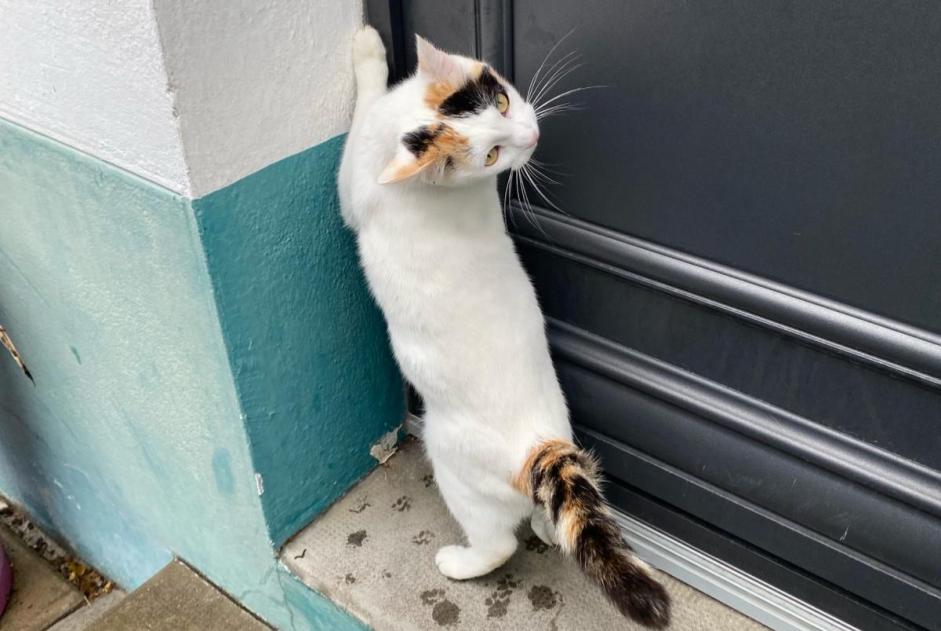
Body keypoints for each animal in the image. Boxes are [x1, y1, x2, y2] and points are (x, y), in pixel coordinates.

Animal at [336, 25, 668, 628]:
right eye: (490, 153)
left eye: (504, 104)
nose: (532, 134)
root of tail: (544, 446)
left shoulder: (354, 185)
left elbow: (359, 121)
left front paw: (368, 51)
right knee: (544, 519)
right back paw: (546, 524)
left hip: (450, 461)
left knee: (499, 544)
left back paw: (460, 562)